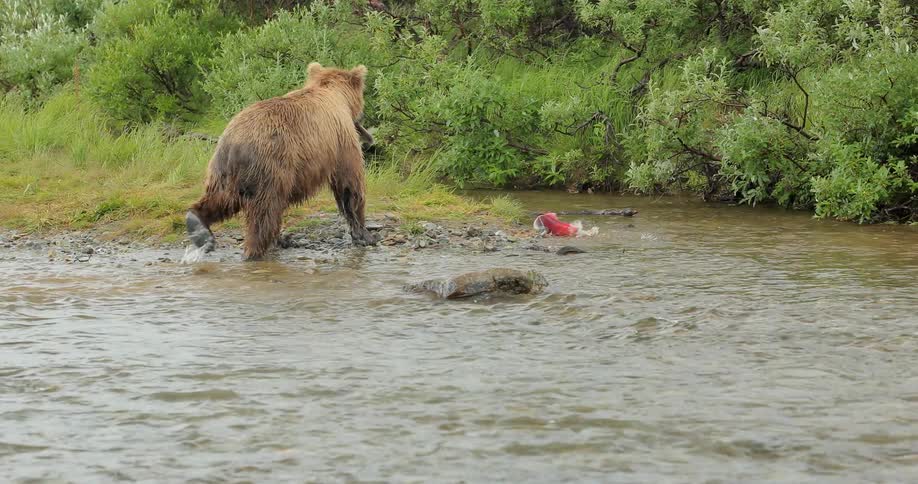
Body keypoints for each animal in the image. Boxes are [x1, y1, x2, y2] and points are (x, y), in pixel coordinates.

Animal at [185, 62, 377, 260]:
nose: (364, 123)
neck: (337, 97)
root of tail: (235, 144)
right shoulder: (342, 141)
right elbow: (350, 184)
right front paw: (365, 234)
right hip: (270, 169)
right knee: (265, 213)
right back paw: (256, 250)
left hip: (223, 171)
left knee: (220, 200)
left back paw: (198, 224)